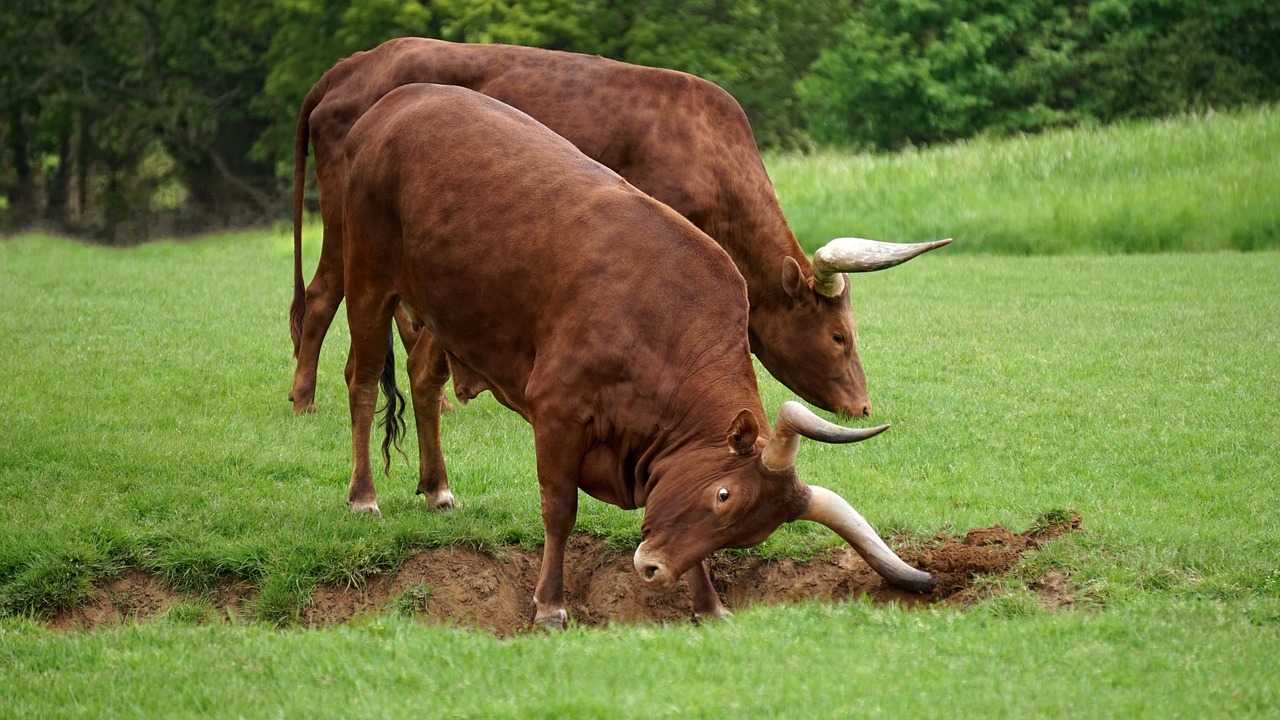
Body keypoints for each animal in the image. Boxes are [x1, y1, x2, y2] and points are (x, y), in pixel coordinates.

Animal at [290, 37, 952, 415]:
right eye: (839, 337)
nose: (862, 407)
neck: (708, 151)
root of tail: (348, 69)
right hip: (348, 222)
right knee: (322, 298)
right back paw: (304, 400)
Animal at [343, 82, 942, 622]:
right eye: (723, 495)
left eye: (744, 533)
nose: (652, 569)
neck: (658, 319)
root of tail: (396, 102)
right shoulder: (557, 414)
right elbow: (559, 510)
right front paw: (550, 606)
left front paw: (708, 604)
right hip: (366, 277)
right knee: (363, 380)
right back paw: (363, 497)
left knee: (422, 378)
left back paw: (436, 490)